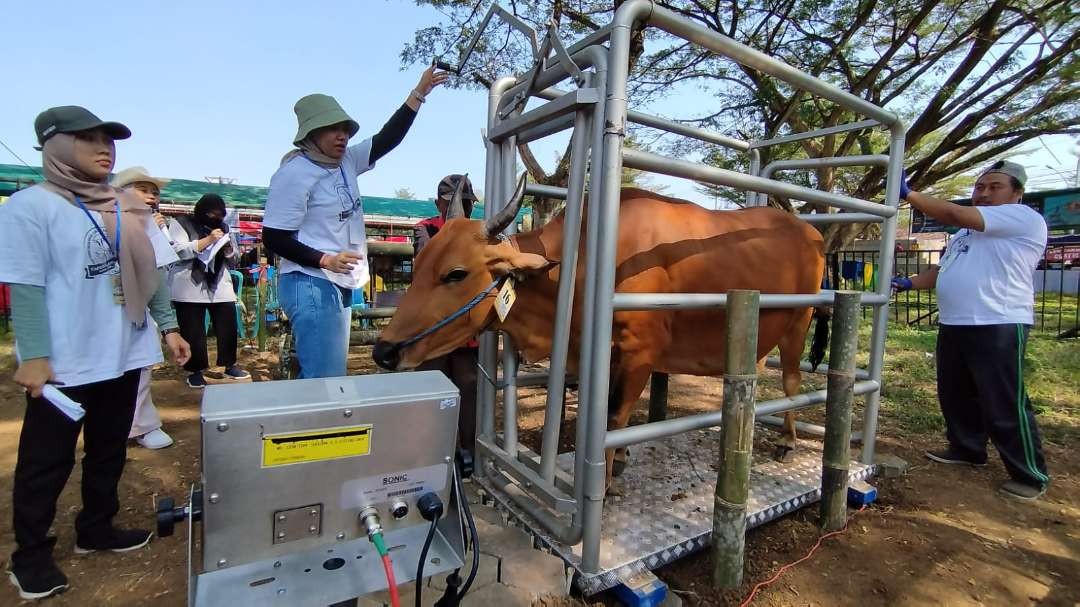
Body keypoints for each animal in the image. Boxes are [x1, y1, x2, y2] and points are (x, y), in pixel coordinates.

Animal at [371, 174, 825, 486]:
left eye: (456, 273)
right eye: (419, 260)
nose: (384, 351)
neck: (586, 263)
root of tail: (808, 229)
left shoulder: (639, 351)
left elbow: (613, 415)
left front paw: (605, 481)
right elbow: (610, 417)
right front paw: (619, 460)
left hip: (799, 322)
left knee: (790, 381)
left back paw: (787, 440)